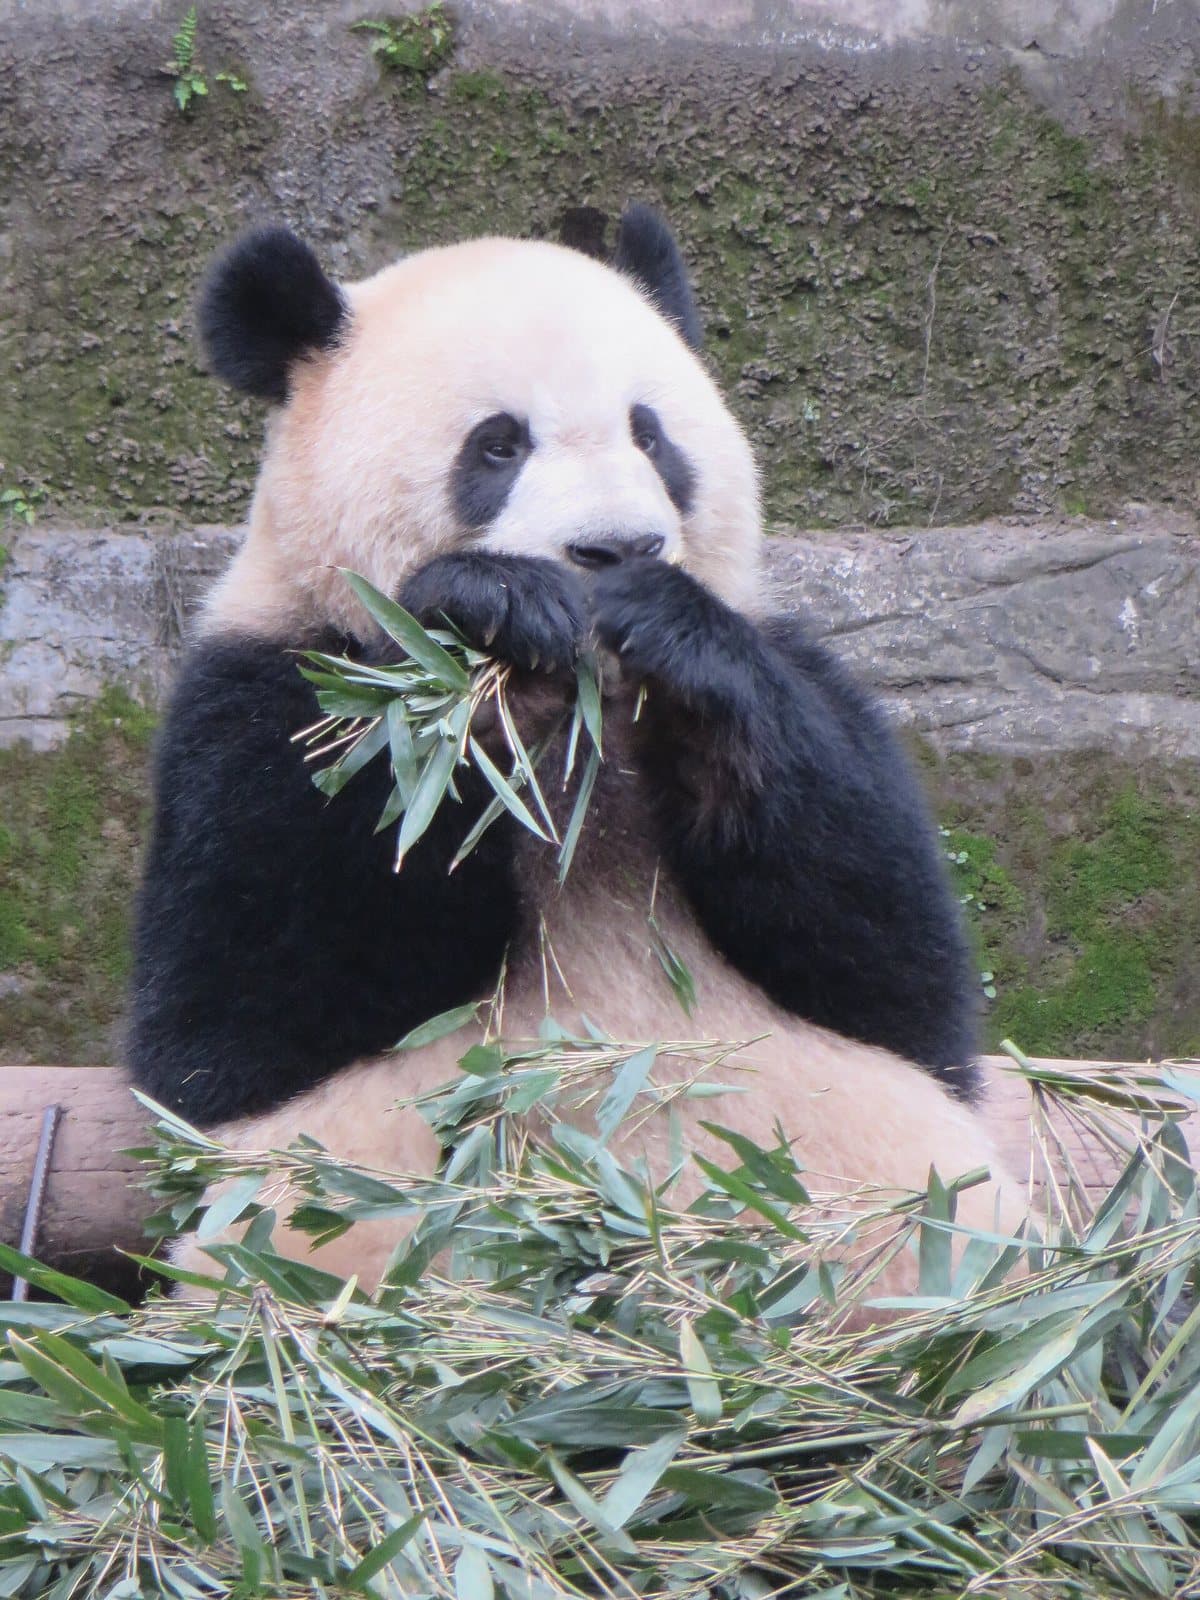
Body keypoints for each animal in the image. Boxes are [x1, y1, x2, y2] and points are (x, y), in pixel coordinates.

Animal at [128, 206, 1024, 1307]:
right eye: (498, 444)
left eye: (653, 434)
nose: (618, 549)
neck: (580, 722)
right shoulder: (269, 689)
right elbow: (255, 1005)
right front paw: (492, 611)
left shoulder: (803, 678)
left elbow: (893, 967)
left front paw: (673, 632)